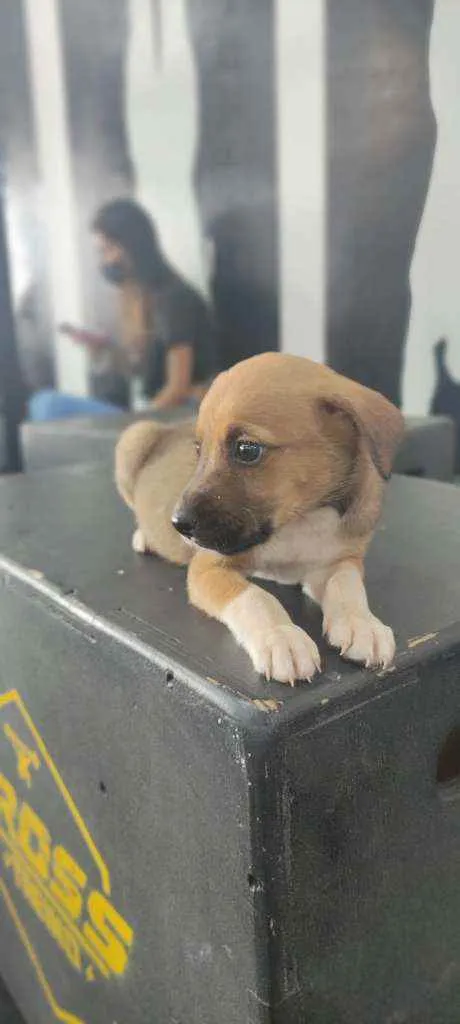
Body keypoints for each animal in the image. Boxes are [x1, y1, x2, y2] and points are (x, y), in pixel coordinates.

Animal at [114, 354, 401, 688]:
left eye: (247, 449)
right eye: (198, 450)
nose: (178, 524)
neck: (298, 520)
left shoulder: (339, 559)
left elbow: (347, 585)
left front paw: (362, 624)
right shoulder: (208, 566)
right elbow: (256, 597)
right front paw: (281, 637)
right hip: (133, 439)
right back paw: (144, 537)